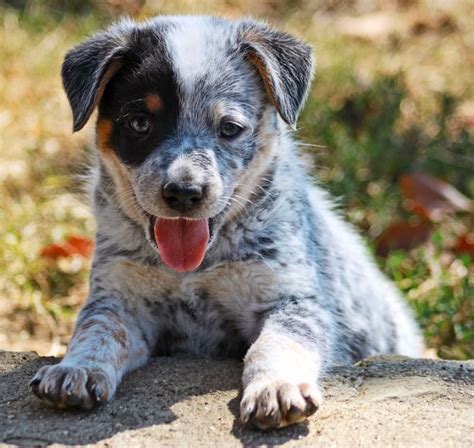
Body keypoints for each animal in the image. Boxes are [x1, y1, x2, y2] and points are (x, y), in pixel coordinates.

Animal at [30, 16, 422, 430]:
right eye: (139, 123)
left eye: (230, 128)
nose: (184, 192)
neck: (193, 271)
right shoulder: (120, 298)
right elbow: (98, 331)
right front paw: (75, 369)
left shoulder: (291, 299)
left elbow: (277, 343)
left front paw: (276, 388)